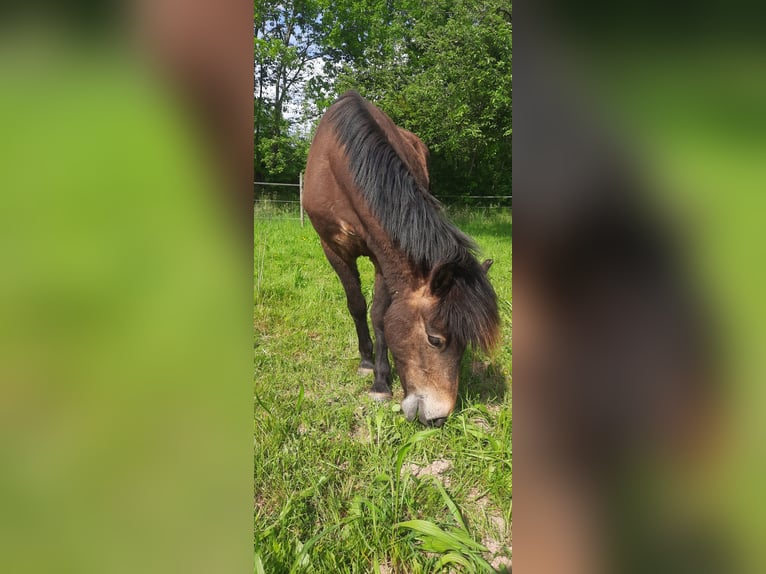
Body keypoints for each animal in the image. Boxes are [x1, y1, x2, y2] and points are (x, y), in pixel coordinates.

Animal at [304, 91, 500, 428]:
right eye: (435, 339)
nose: (438, 418)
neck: (339, 161)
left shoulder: (381, 256)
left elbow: (380, 314)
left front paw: (381, 383)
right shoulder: (333, 249)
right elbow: (357, 306)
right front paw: (368, 365)